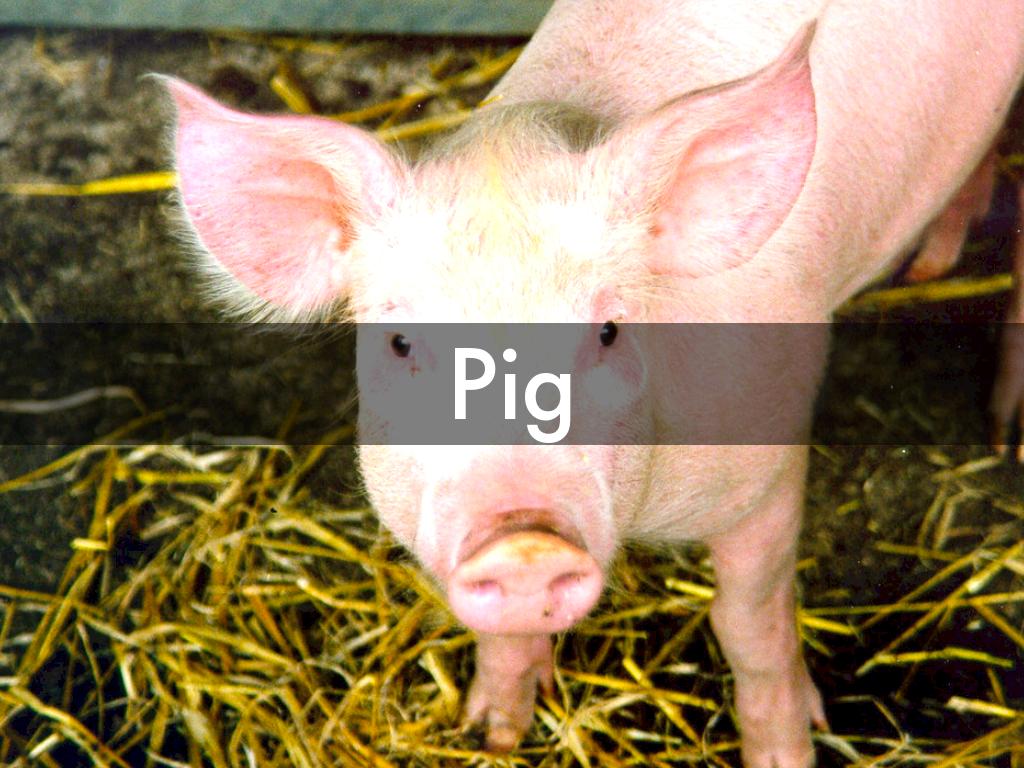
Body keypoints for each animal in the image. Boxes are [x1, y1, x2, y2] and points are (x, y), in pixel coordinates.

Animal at [164, 1, 1024, 765]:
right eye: (402, 343)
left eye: (608, 331)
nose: (523, 540)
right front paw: (493, 733)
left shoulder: (769, 469)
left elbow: (748, 622)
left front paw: (785, 754)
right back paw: (932, 267)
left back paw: (1000, 424)